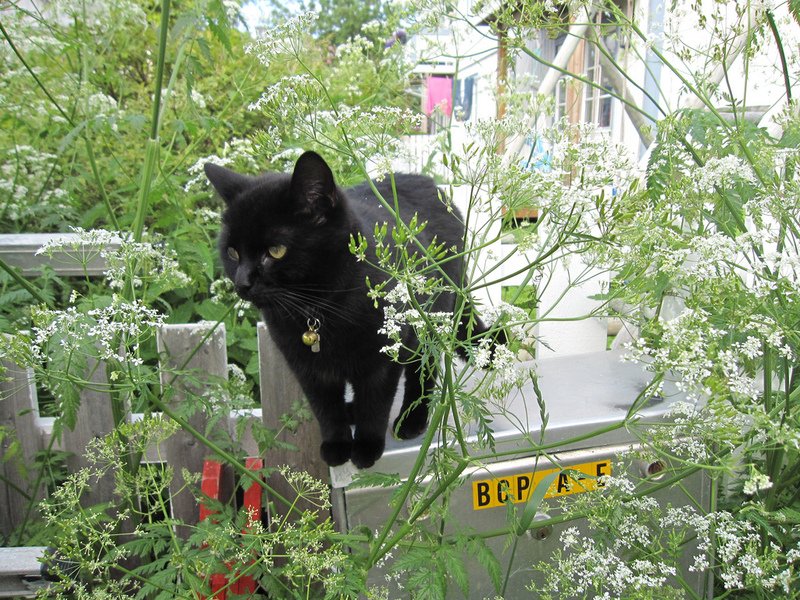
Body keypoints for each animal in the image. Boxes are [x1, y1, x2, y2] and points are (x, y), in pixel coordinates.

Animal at [205, 151, 497, 469]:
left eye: (276, 251)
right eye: (232, 252)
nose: (242, 283)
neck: (320, 311)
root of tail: (430, 183)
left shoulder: (382, 359)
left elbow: (376, 403)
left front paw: (367, 447)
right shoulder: (308, 368)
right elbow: (325, 408)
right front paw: (336, 445)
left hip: (428, 323)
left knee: (424, 368)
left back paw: (412, 420)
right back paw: (352, 410)